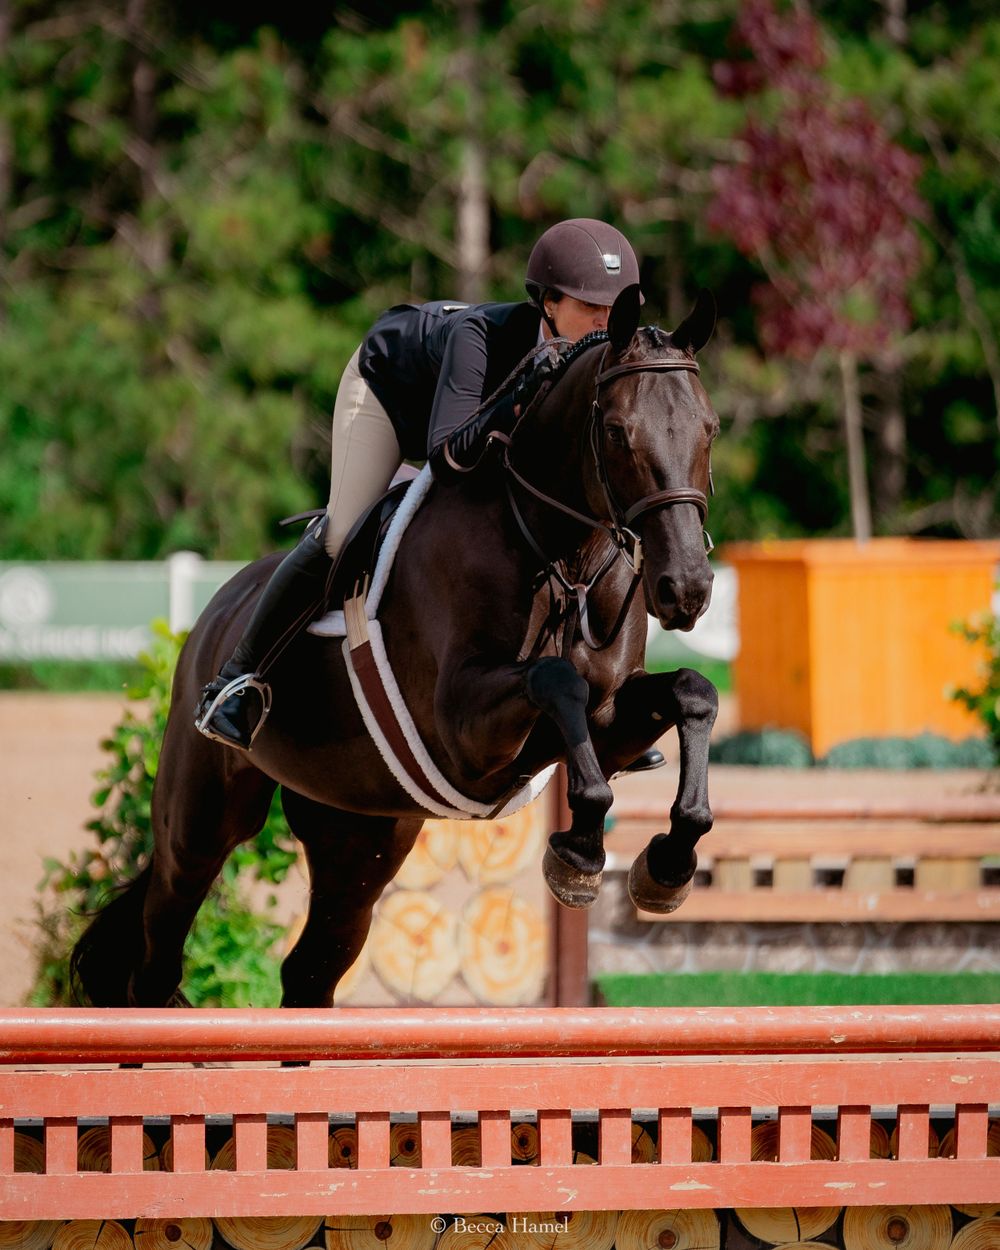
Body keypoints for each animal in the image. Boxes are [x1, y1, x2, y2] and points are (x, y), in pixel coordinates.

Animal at [71, 283, 721, 1009]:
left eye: (710, 428)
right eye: (616, 432)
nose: (686, 589)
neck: (562, 551)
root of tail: (216, 608)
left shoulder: (607, 722)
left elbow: (691, 692)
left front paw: (669, 863)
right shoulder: (466, 733)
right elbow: (558, 681)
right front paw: (579, 854)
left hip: (360, 834)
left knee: (310, 971)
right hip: (200, 823)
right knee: (156, 959)